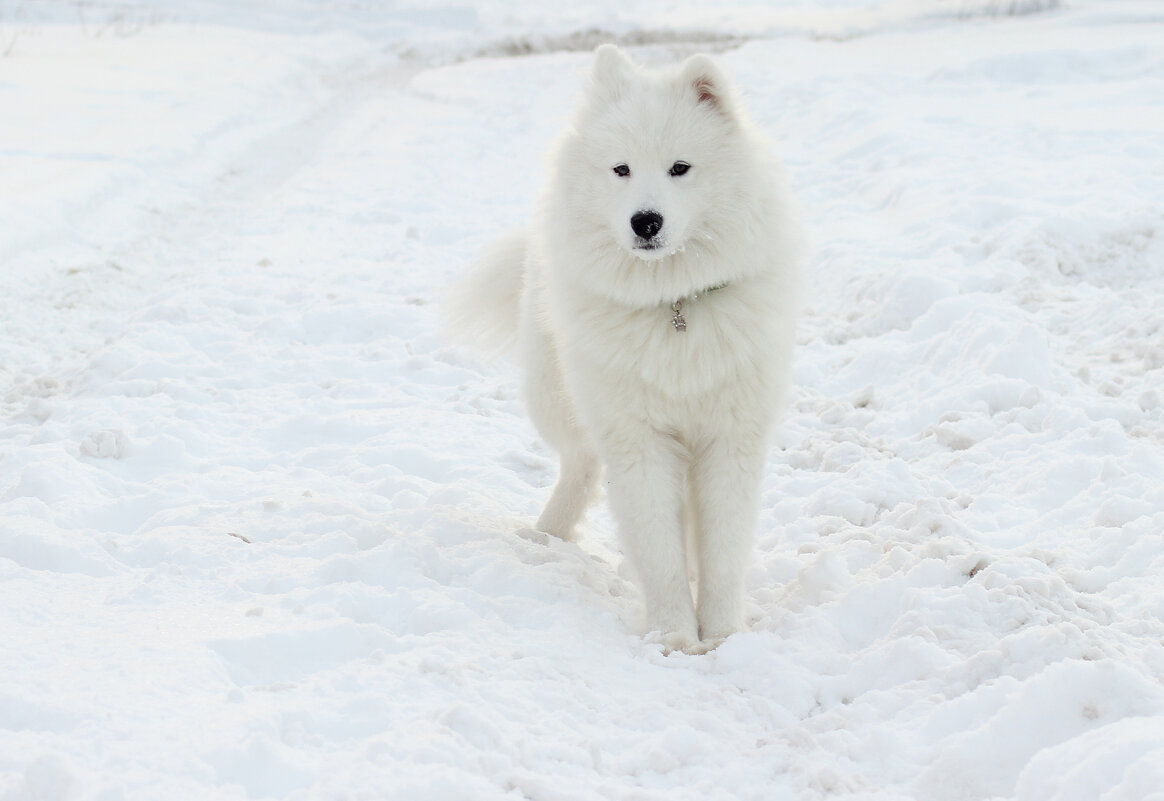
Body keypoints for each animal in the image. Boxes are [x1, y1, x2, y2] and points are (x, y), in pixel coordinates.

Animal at [449, 46, 805, 651]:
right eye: (621, 170)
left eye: (680, 168)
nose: (645, 221)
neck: (673, 306)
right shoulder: (637, 440)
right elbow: (656, 549)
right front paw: (676, 638)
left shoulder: (729, 438)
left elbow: (724, 548)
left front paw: (724, 635)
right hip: (556, 397)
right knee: (580, 467)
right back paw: (546, 534)